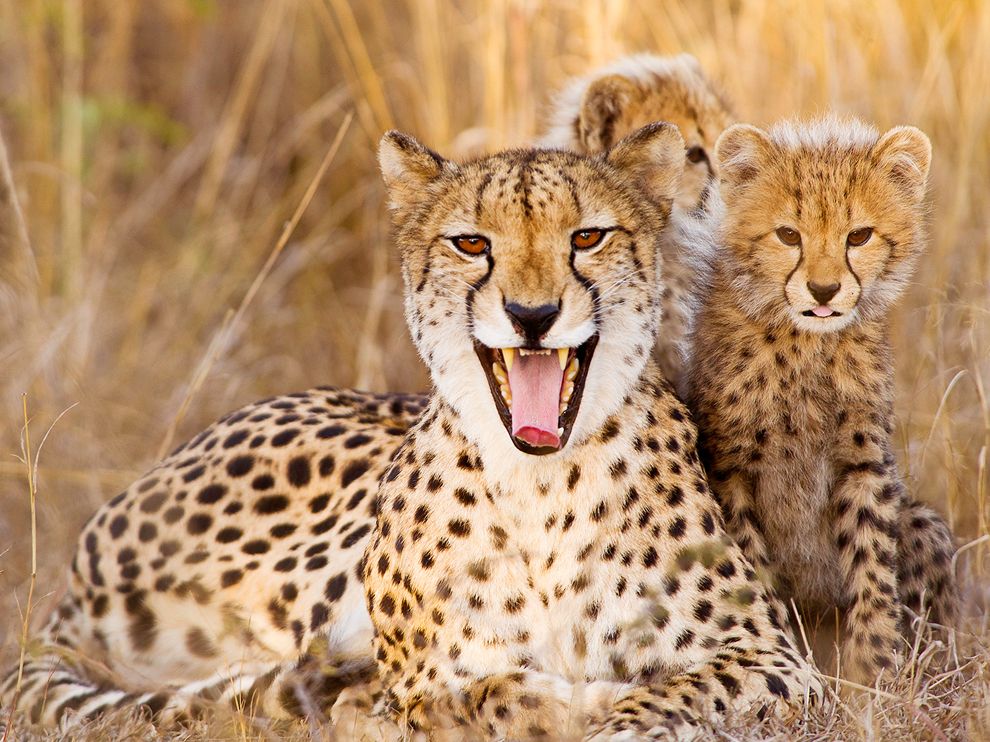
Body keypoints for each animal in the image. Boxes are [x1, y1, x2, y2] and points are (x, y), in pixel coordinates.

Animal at [2, 123, 823, 738]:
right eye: (472, 244)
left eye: (588, 237)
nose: (532, 315)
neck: (540, 482)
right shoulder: (420, 676)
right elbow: (469, 695)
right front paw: (560, 702)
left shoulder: (776, 661)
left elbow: (672, 691)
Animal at [686, 116, 959, 686]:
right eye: (789, 235)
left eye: (859, 236)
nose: (825, 290)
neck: (804, 347)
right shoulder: (730, 470)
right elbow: (756, 573)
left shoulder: (863, 462)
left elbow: (872, 568)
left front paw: (875, 676)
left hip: (923, 523)